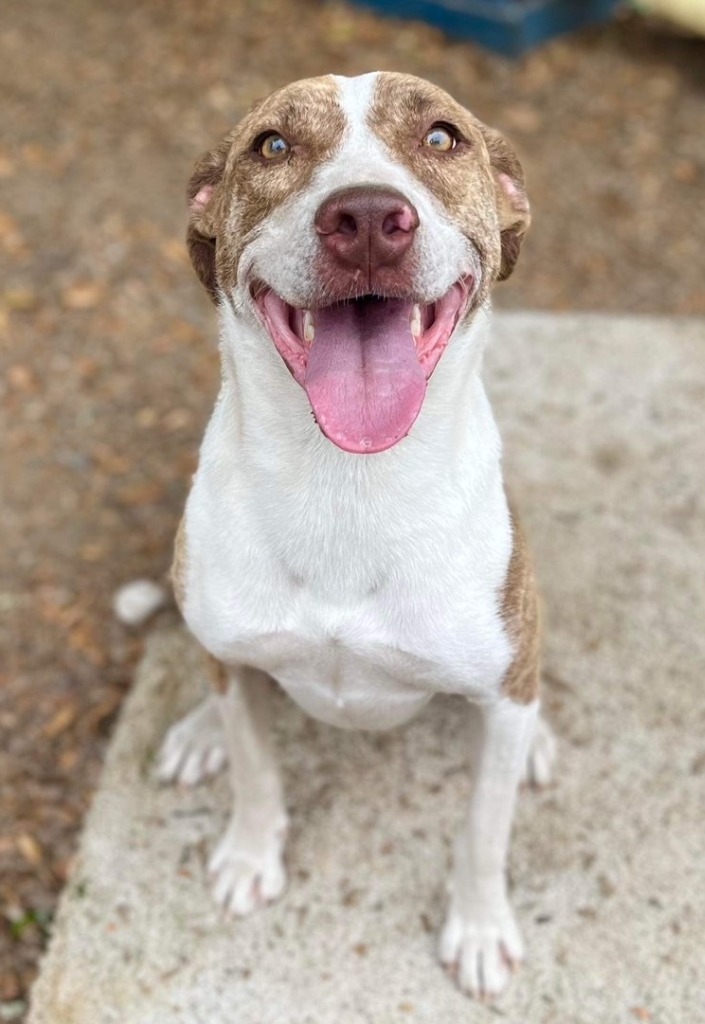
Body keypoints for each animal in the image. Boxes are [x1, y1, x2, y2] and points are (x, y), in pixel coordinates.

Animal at [155, 72, 557, 999]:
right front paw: (249, 853)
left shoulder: (497, 692)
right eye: (272, 146)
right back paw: (198, 730)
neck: (348, 487)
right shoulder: (235, 655)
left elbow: (483, 831)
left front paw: (477, 927)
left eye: (442, 138)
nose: (368, 218)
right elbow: (255, 765)